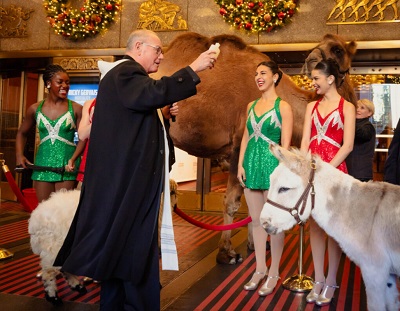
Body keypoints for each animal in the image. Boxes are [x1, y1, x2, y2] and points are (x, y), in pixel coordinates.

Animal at [155, 33, 358, 264]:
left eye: (338, 49)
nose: (311, 60)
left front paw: (256, 245)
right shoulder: (237, 148)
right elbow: (232, 202)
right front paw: (227, 252)